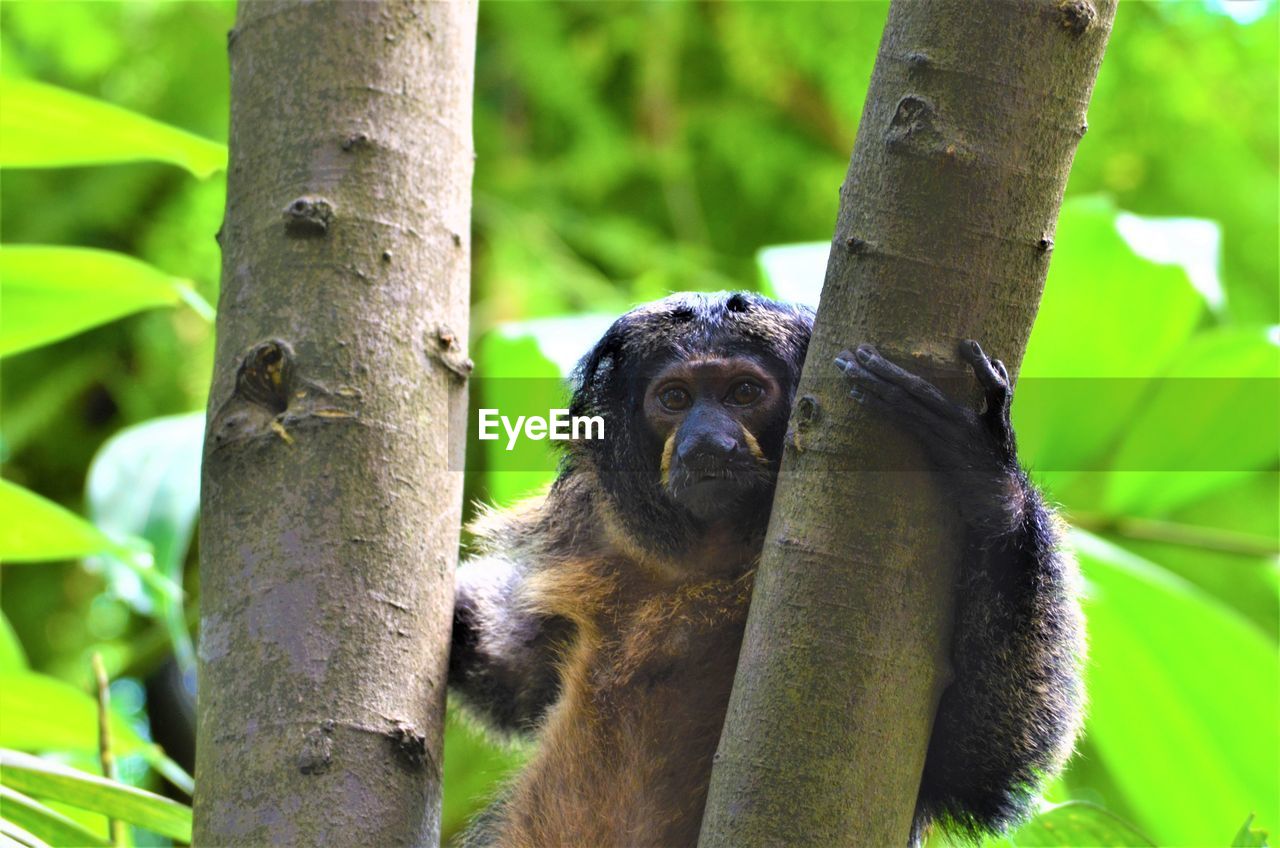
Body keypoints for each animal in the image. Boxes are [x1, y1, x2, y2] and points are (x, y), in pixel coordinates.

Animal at [445, 292, 1085, 848]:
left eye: (744, 392)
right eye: (675, 399)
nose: (706, 440)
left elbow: (977, 763)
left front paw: (983, 474)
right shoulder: (593, 534)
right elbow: (523, 680)